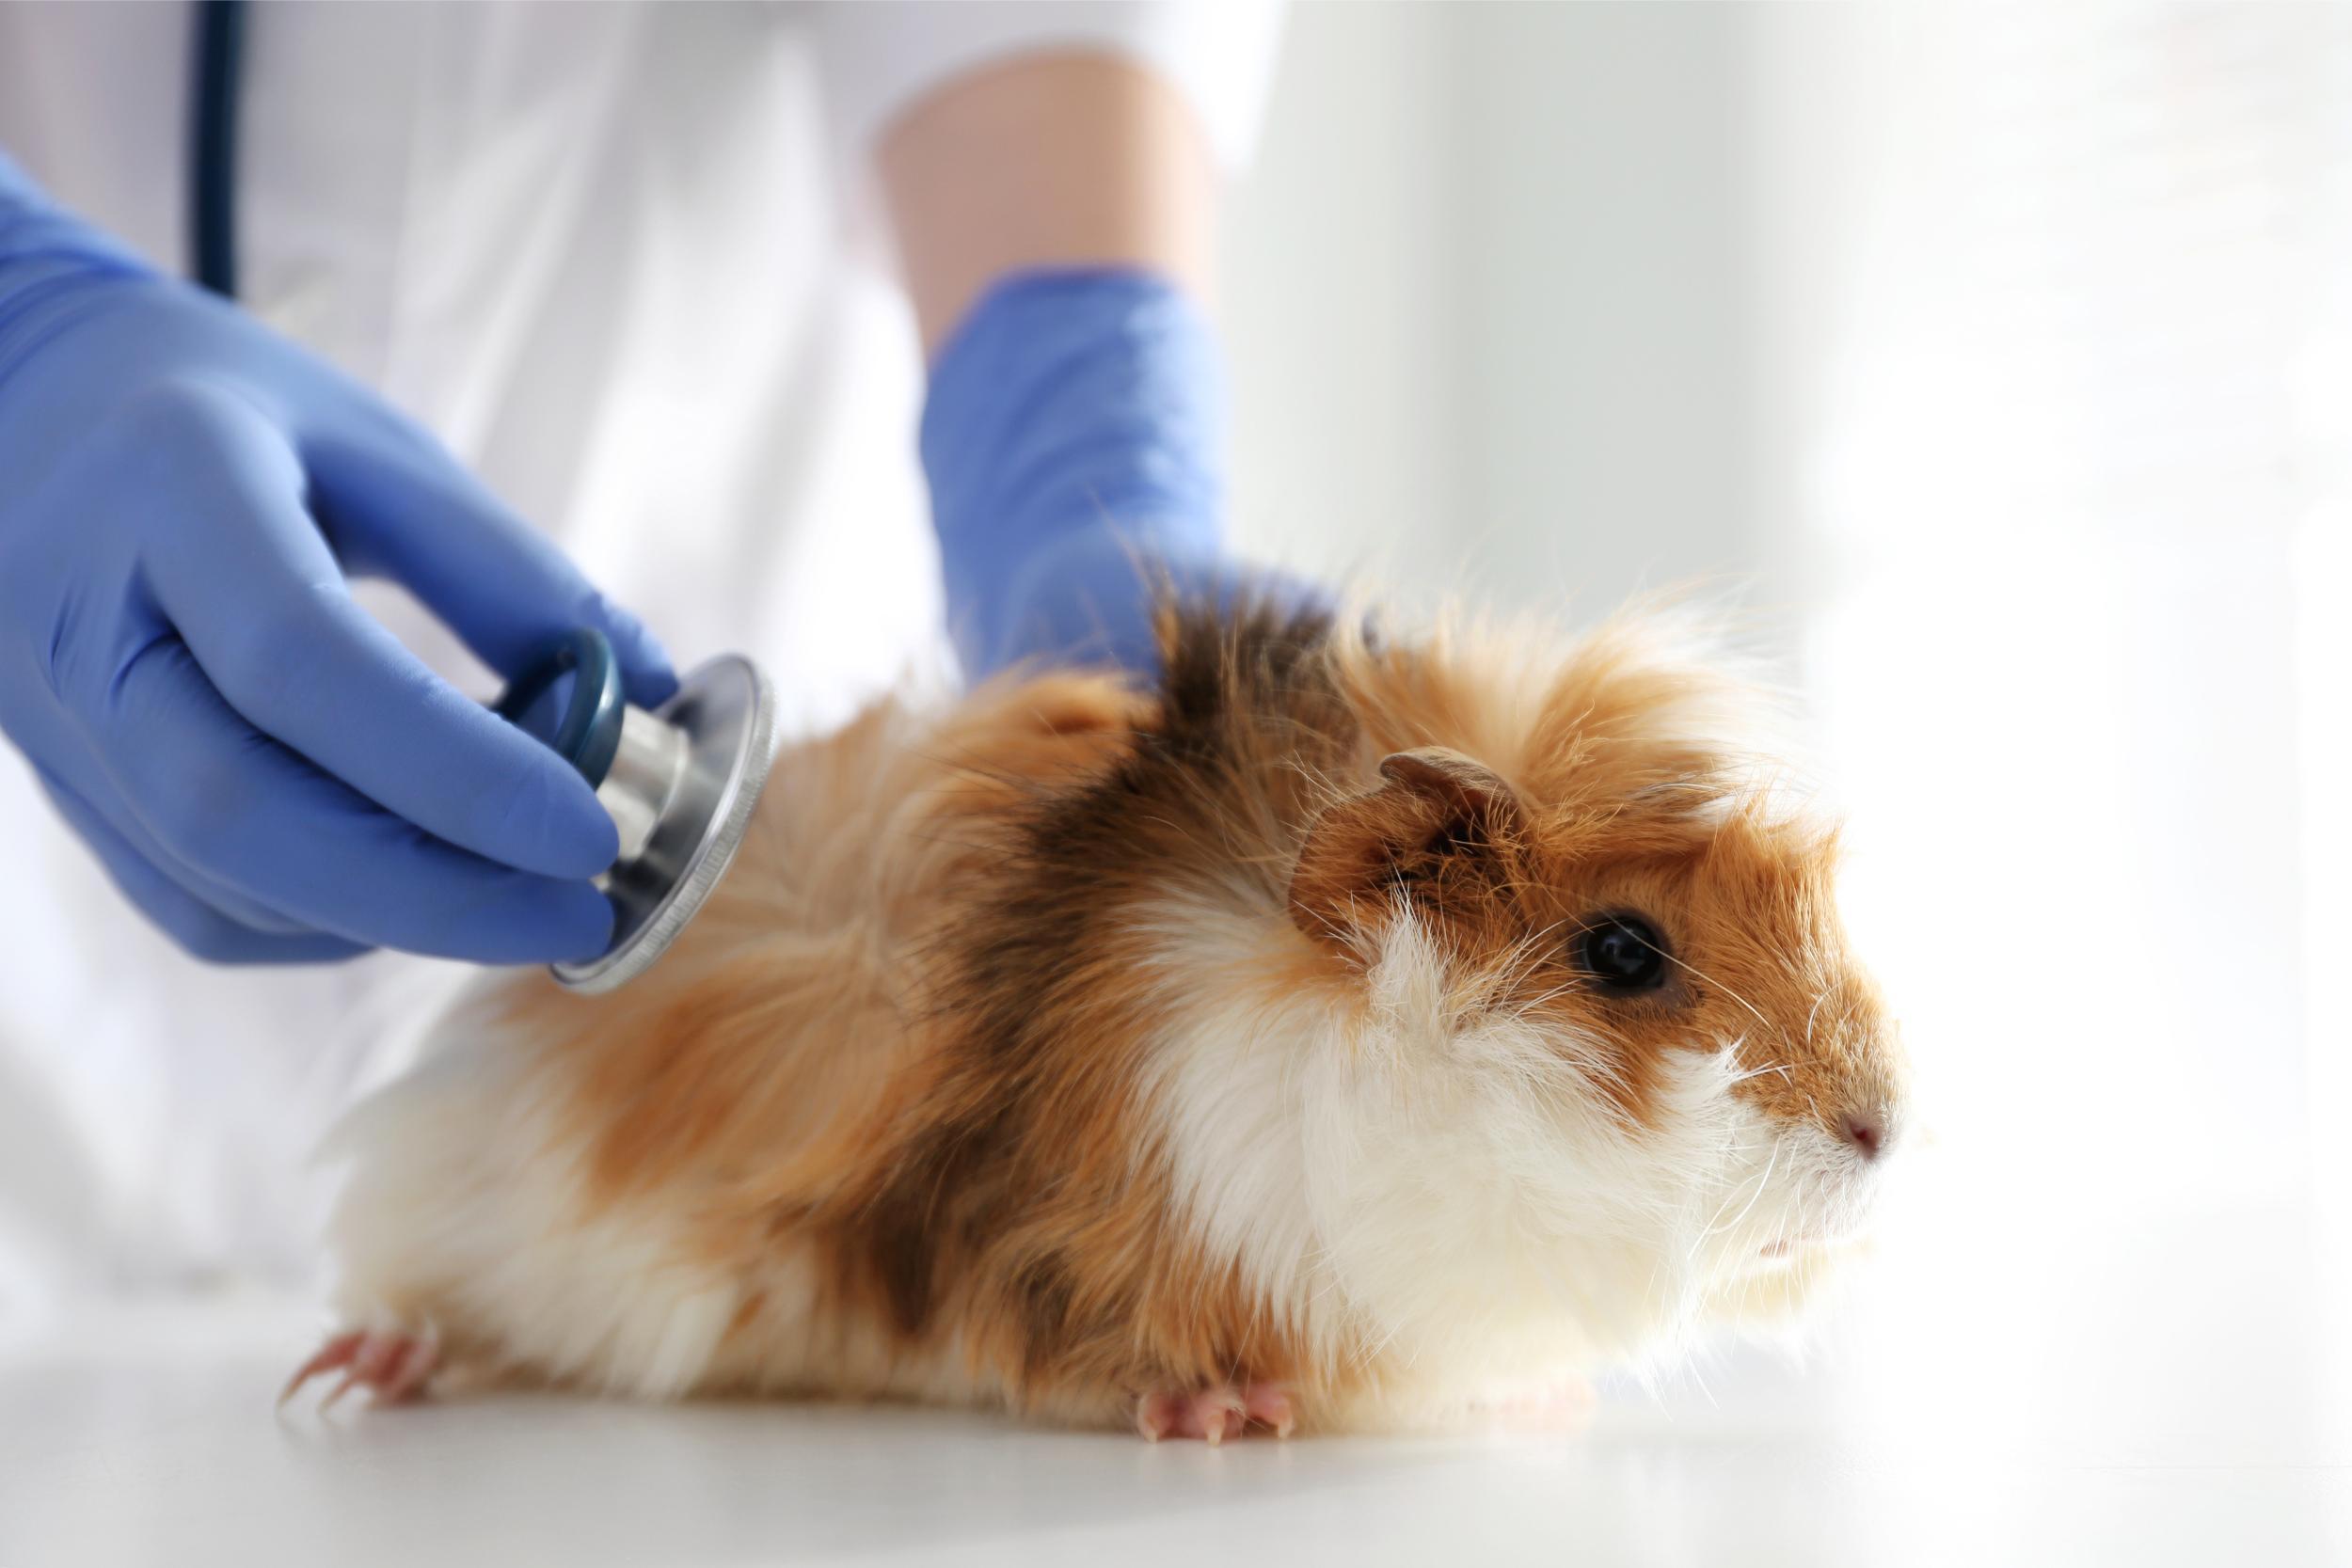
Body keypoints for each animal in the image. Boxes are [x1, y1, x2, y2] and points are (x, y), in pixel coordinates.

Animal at [287, 599, 1906, 1440]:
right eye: (1624, 949)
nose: (1879, 1126)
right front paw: (1221, 1410)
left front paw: (1547, 1399)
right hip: (445, 1203)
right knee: (417, 1302)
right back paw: (354, 1377)